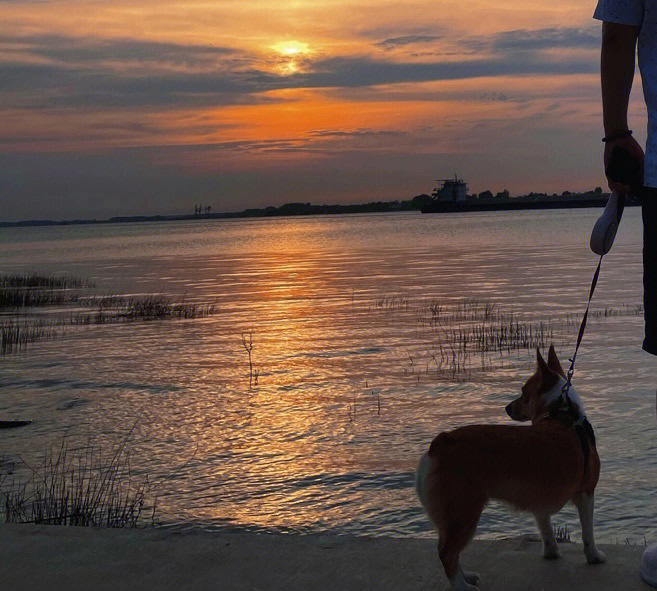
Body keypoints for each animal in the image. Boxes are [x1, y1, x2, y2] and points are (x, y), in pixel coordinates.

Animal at [416, 346, 604, 591]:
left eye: (524, 392)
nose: (507, 408)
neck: (562, 413)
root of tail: (441, 442)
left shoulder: (540, 502)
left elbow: (545, 529)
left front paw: (551, 552)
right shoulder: (586, 494)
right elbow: (587, 532)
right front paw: (594, 556)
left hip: (455, 518)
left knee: (451, 552)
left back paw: (467, 577)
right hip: (463, 513)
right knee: (446, 553)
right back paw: (462, 586)